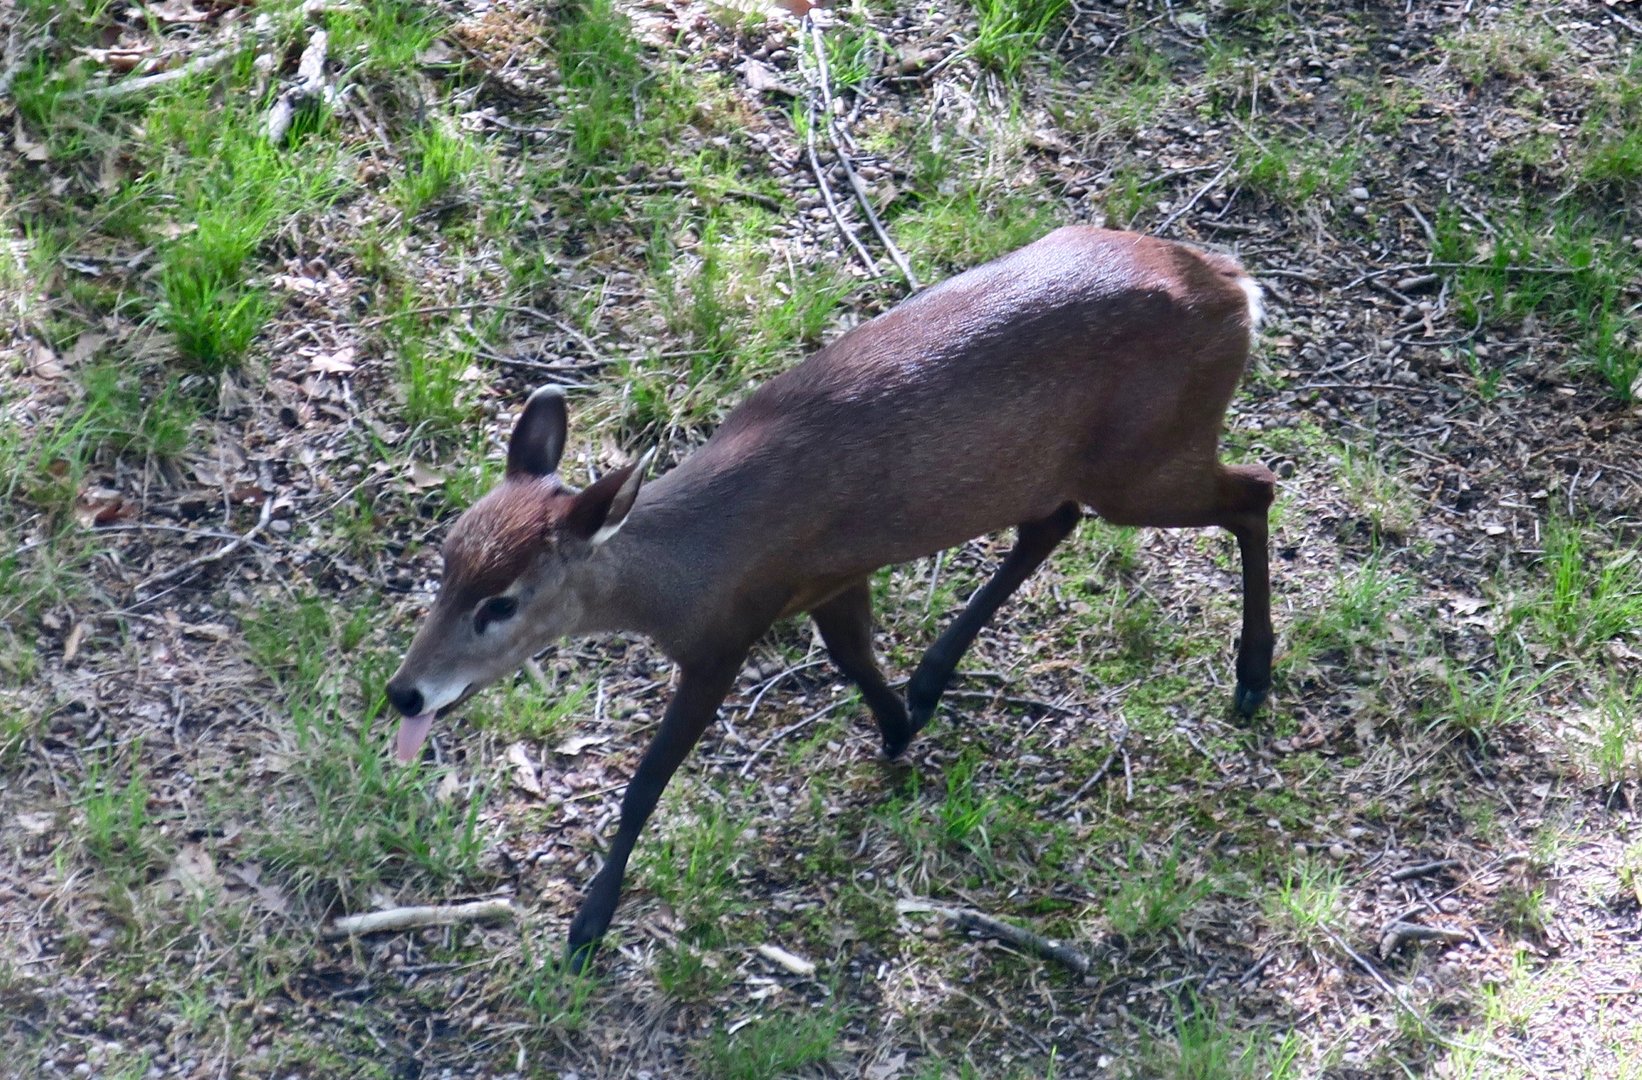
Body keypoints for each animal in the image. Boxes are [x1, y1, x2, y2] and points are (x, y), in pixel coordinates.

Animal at [384, 226, 1275, 971]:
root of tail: (1234, 285)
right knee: (1057, 521)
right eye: (445, 561)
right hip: (1073, 466)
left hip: (1148, 455)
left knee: (1255, 489)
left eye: (502, 602)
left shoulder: (725, 636)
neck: (694, 565)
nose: (404, 693)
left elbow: (647, 782)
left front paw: (587, 927)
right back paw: (935, 675)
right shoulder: (833, 575)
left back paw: (1252, 676)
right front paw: (901, 725)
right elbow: (852, 657)